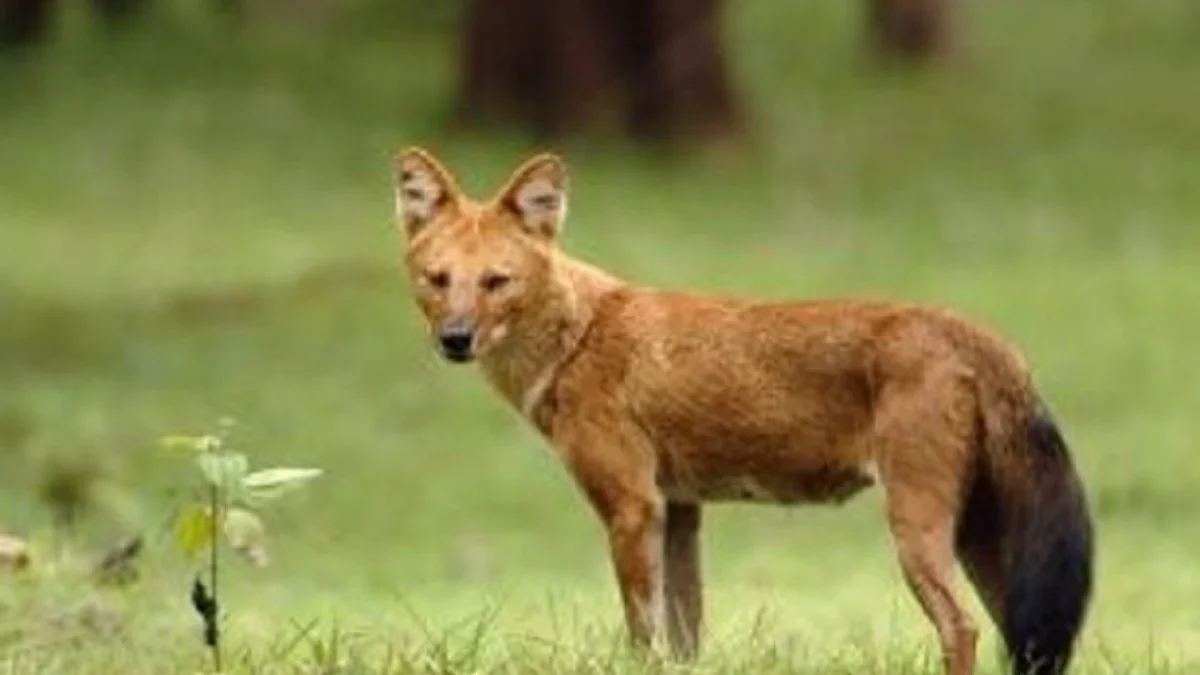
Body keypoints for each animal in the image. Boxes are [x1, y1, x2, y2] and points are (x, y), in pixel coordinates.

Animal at [391, 147, 1099, 672]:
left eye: (496, 281)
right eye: (437, 279)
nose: (455, 339)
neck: (576, 338)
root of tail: (971, 330)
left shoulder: (631, 507)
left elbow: (641, 636)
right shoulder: (679, 509)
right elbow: (683, 639)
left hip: (917, 527)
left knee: (962, 628)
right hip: (983, 537)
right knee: (1024, 639)